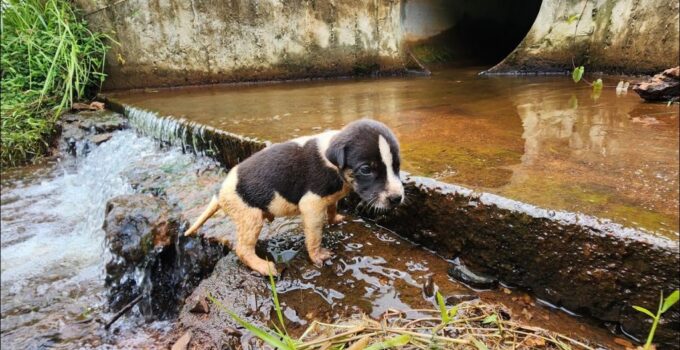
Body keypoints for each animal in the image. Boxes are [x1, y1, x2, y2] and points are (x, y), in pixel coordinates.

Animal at [183, 119, 404, 274]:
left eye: (397, 166)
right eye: (366, 169)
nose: (397, 199)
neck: (335, 166)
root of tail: (219, 194)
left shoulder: (329, 197)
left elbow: (333, 206)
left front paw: (335, 219)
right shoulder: (311, 205)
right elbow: (314, 235)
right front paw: (317, 256)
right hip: (250, 218)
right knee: (243, 250)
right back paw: (263, 267)